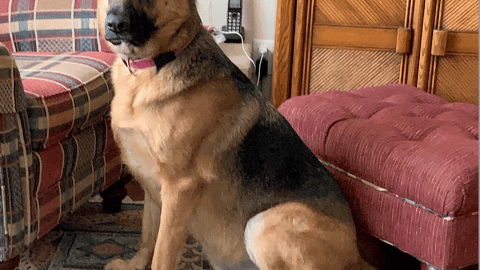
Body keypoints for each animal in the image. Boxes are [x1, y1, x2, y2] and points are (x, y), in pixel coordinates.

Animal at [98, 0, 376, 268]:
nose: (115, 25)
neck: (153, 67)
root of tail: (358, 259)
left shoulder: (179, 189)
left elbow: (162, 253)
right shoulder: (150, 184)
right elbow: (147, 235)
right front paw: (134, 264)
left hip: (262, 225)